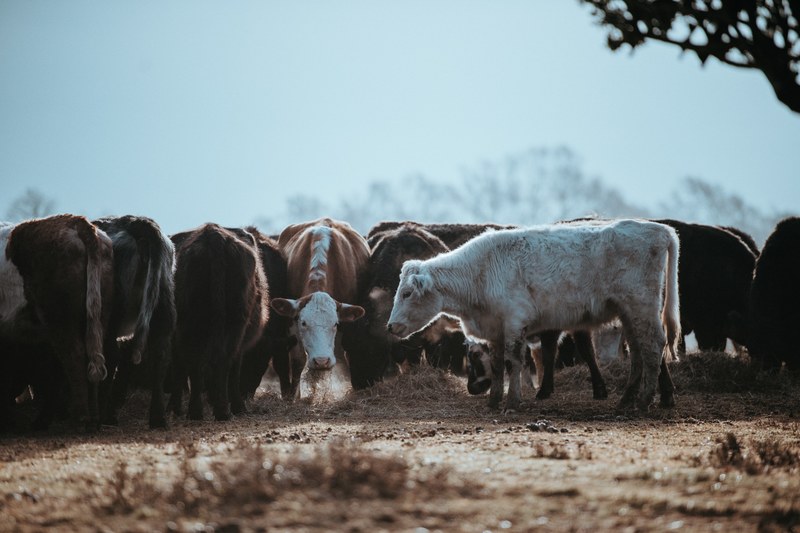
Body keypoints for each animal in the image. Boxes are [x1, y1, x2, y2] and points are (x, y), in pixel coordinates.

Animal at [1, 215, 114, 430]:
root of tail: (76, 222)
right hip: (97, 315)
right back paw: (92, 419)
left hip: (59, 318)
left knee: (74, 356)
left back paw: (79, 418)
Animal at [91, 215, 176, 429]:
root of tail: (136, 222)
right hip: (163, 302)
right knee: (161, 355)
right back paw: (157, 418)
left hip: (112, 312)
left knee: (111, 356)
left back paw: (103, 416)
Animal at [169, 224, 269, 421]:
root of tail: (213, 236)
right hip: (233, 324)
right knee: (221, 362)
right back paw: (223, 409)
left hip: (194, 325)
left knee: (200, 362)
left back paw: (199, 410)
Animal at [270, 218, 367, 392]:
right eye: (303, 323)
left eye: (335, 324)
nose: (321, 361)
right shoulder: (292, 321)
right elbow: (298, 360)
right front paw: (295, 395)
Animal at [387, 219, 680, 412]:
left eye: (407, 293)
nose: (390, 326)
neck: (481, 271)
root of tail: (660, 230)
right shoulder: (495, 328)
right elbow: (497, 365)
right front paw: (494, 401)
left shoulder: (514, 322)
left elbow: (514, 361)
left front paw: (513, 403)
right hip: (628, 313)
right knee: (639, 351)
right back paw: (627, 400)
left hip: (642, 306)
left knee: (653, 346)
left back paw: (643, 402)